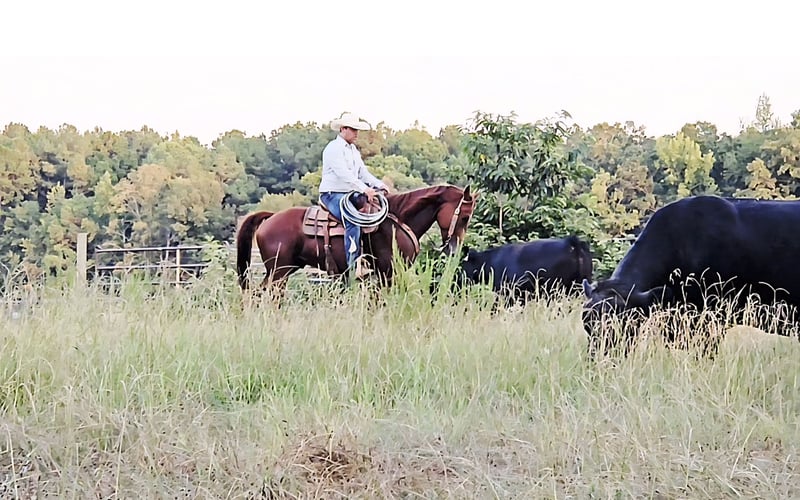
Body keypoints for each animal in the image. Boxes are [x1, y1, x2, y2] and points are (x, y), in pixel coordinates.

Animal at [236, 184, 476, 294]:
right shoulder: (389, 273)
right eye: (464, 216)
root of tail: (270, 217)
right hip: (279, 271)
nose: (454, 249)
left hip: (281, 270)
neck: (398, 219)